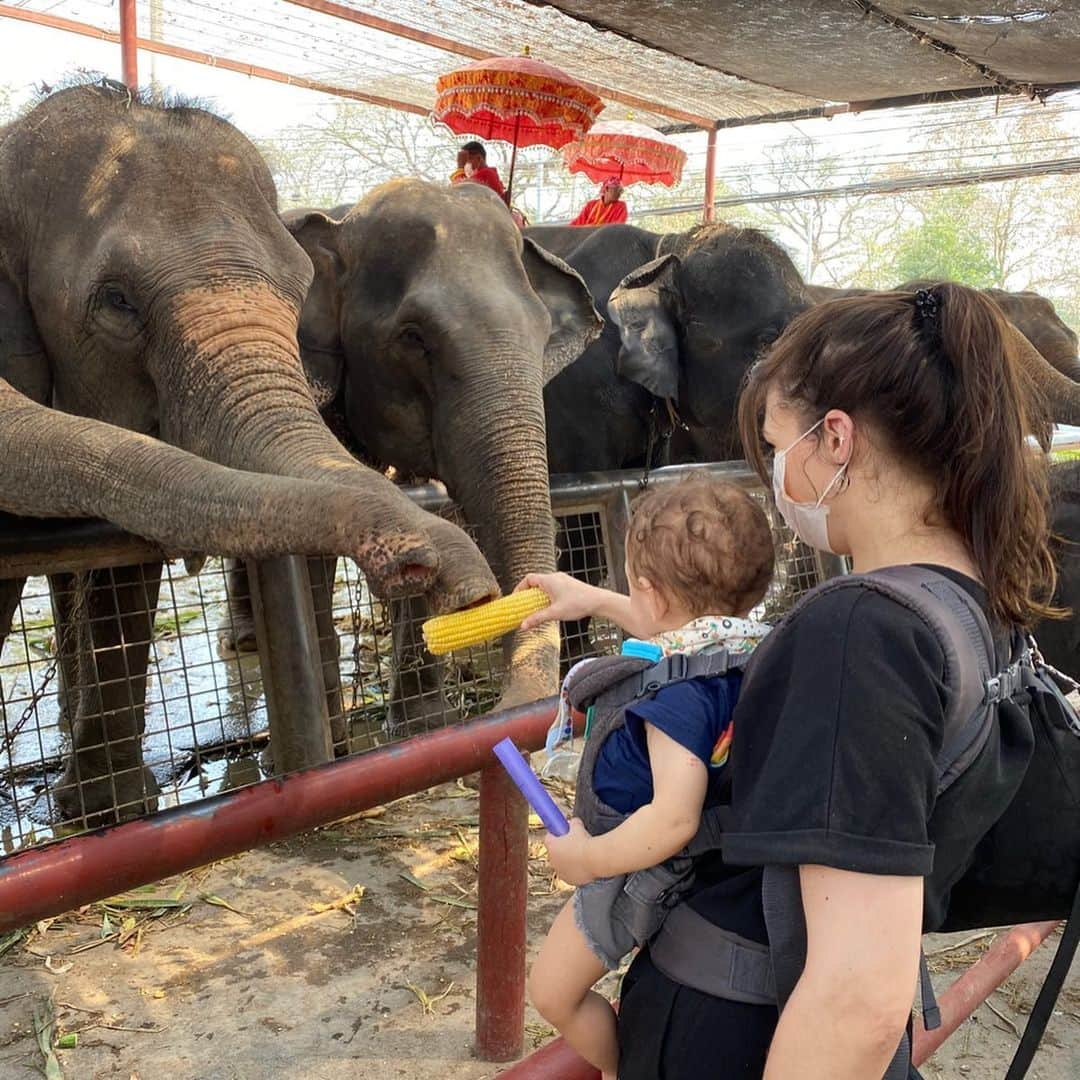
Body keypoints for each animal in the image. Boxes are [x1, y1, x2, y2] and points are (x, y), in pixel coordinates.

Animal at [0, 86, 494, 825]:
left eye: (299, 290)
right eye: (116, 302)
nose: (467, 586)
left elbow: (127, 565)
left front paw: (112, 812)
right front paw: (107, 817)